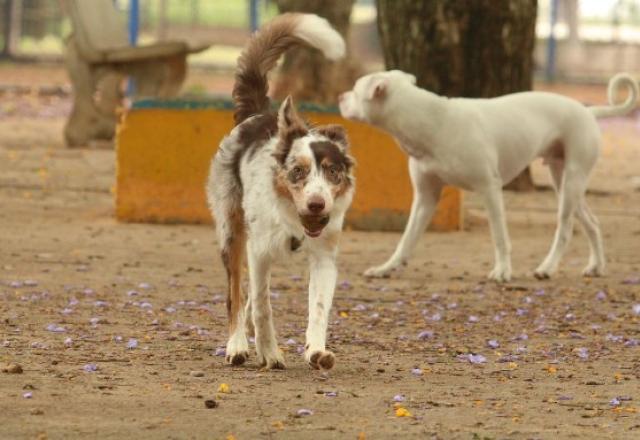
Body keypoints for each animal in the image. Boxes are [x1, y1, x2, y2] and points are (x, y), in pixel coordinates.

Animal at [206, 13, 352, 370]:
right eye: (297, 171)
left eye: (332, 171)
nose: (317, 204)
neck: (294, 221)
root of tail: (259, 113)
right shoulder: (258, 251)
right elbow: (261, 305)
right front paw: (270, 353)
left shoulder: (324, 257)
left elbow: (319, 308)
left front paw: (316, 351)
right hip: (232, 232)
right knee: (236, 295)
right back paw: (238, 344)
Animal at [338, 69, 636, 282]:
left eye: (355, 88)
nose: (340, 97)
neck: (433, 122)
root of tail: (588, 110)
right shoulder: (425, 197)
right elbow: (406, 239)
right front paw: (387, 268)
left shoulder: (490, 190)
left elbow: (499, 236)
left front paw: (503, 271)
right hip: (563, 181)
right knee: (593, 223)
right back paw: (596, 266)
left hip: (571, 182)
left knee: (565, 229)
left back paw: (547, 268)